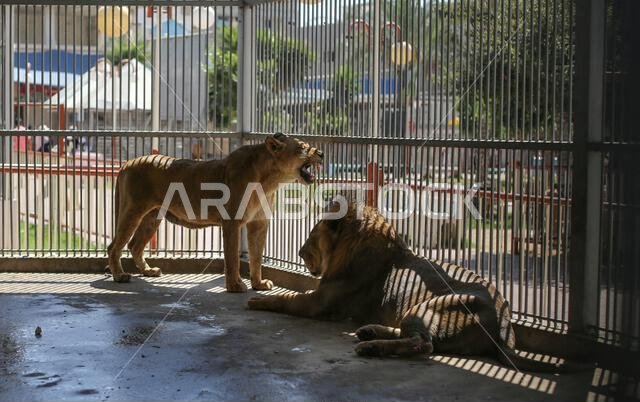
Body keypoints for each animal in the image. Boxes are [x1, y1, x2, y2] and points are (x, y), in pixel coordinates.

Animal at [106, 133, 323, 292]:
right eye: (303, 148)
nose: (321, 153)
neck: (270, 180)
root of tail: (127, 163)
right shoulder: (232, 222)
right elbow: (232, 257)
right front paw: (235, 286)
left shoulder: (259, 223)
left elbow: (256, 256)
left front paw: (258, 284)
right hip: (132, 211)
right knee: (114, 246)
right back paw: (119, 276)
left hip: (153, 217)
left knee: (134, 245)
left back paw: (148, 271)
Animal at [248, 203, 574, 372]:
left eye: (313, 235)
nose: (299, 252)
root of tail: (506, 324)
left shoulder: (321, 301)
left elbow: (287, 298)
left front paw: (258, 300)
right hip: (417, 310)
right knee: (418, 337)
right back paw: (369, 332)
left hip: (431, 304)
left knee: (423, 344)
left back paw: (370, 346)